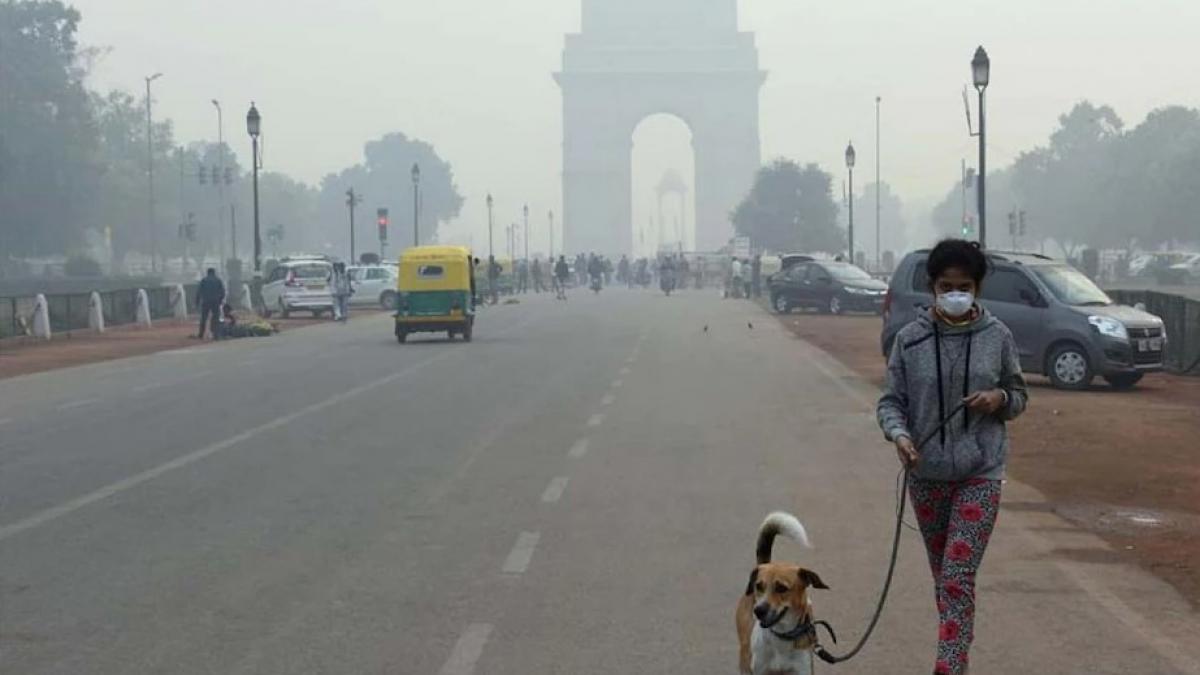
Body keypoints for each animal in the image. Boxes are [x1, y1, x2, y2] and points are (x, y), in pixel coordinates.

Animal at [734, 509, 830, 672]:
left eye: (781, 588)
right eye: (759, 586)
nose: (758, 610)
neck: (781, 636)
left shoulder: (802, 669)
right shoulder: (760, 669)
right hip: (745, 655)